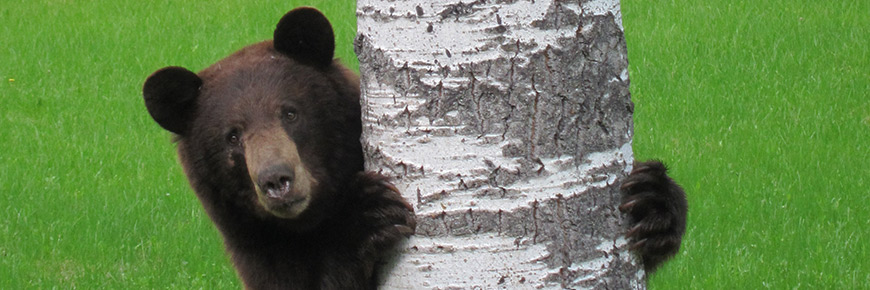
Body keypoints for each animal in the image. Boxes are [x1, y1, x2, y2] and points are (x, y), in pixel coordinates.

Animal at [143, 5, 688, 288]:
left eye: (290, 113)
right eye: (231, 136)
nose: (276, 179)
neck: (313, 220)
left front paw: (654, 203)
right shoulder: (260, 252)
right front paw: (366, 217)